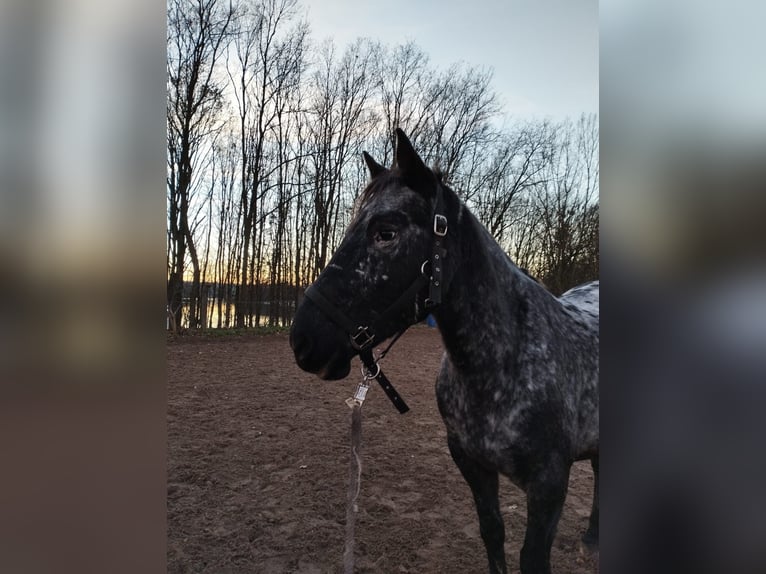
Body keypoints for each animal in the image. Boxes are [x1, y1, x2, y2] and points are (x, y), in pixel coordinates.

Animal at [290, 130, 600, 574]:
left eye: (386, 232)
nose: (303, 341)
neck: (502, 367)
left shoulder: (549, 485)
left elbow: (531, 557)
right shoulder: (472, 465)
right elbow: (493, 535)